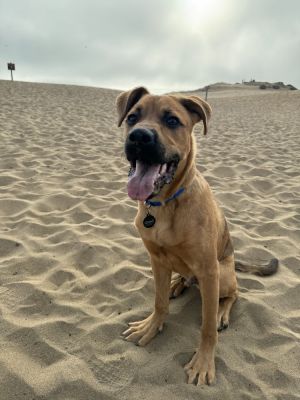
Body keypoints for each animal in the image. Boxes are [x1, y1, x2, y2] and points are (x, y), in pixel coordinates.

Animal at [115, 86, 278, 384]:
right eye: (132, 117)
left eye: (172, 121)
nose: (139, 136)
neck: (165, 204)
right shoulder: (156, 260)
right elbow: (159, 303)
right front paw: (152, 326)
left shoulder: (208, 270)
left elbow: (207, 327)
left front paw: (203, 361)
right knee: (182, 281)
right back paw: (177, 284)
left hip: (222, 275)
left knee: (233, 294)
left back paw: (222, 311)